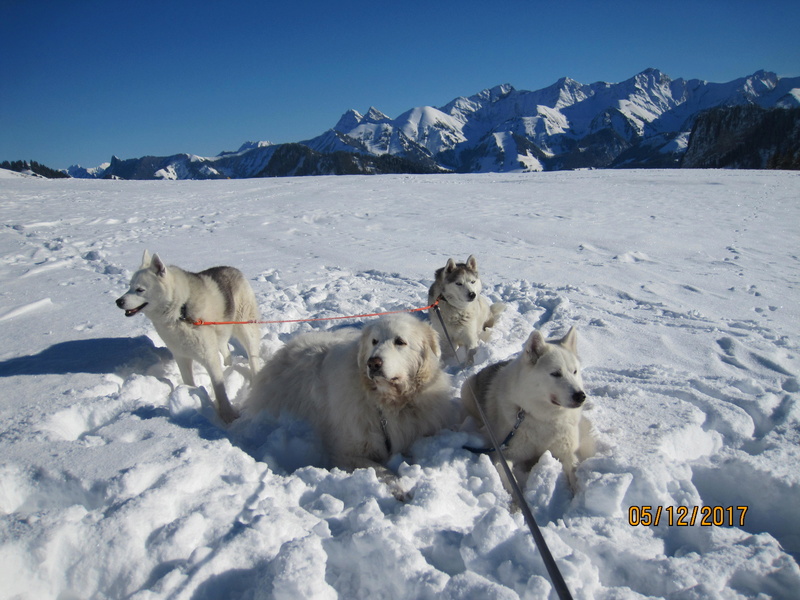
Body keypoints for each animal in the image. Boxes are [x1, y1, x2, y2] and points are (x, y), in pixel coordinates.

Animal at [247, 314, 454, 478]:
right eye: (374, 341)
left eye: (400, 342)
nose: (373, 363)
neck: (386, 402)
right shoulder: (347, 452)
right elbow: (381, 471)